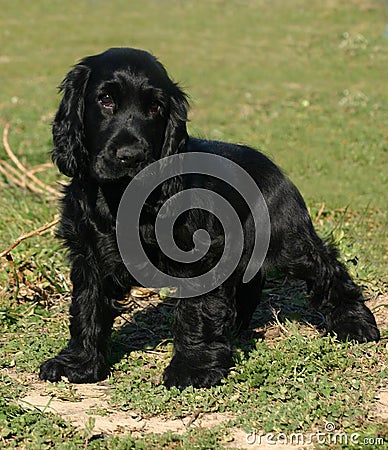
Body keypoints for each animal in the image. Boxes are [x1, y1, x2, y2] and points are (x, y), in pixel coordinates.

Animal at [39, 47, 378, 388]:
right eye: (105, 99)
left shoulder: (200, 256)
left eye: (155, 107)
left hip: (289, 242)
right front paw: (78, 363)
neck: (122, 195)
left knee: (327, 267)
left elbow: (196, 312)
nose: (130, 157)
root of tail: (268, 162)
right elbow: (88, 308)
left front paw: (193, 368)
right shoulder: (89, 256)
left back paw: (356, 323)